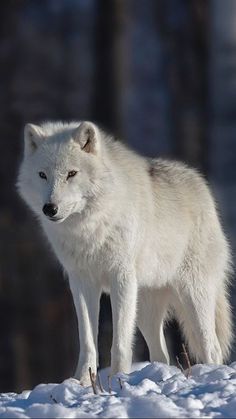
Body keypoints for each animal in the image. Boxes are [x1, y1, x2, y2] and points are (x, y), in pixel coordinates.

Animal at [17, 121, 233, 388]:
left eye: (71, 174)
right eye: (42, 175)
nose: (50, 208)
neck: (89, 228)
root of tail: (201, 185)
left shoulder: (120, 278)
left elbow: (119, 343)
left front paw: (117, 380)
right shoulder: (81, 282)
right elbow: (87, 341)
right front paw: (82, 382)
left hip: (192, 295)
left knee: (211, 347)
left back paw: (209, 375)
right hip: (144, 308)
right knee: (161, 354)